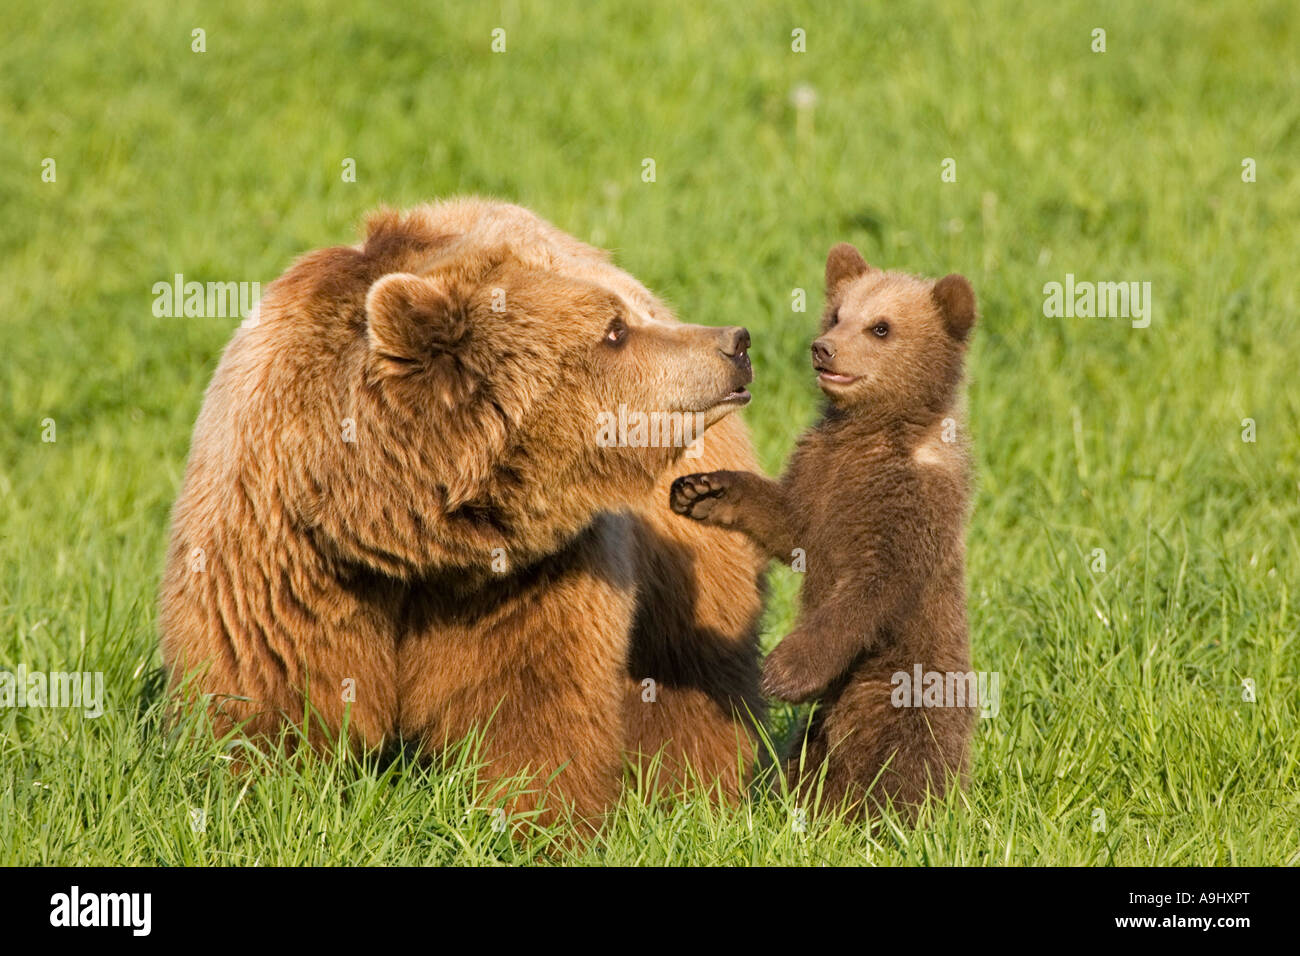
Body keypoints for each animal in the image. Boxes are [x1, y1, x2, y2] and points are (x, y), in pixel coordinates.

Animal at [162, 200, 769, 822]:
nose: (735, 341)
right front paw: (259, 792)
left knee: (688, 670)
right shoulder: (282, 560)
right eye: (615, 330)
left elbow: (530, 706)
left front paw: (538, 818)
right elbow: (270, 691)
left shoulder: (531, 576)